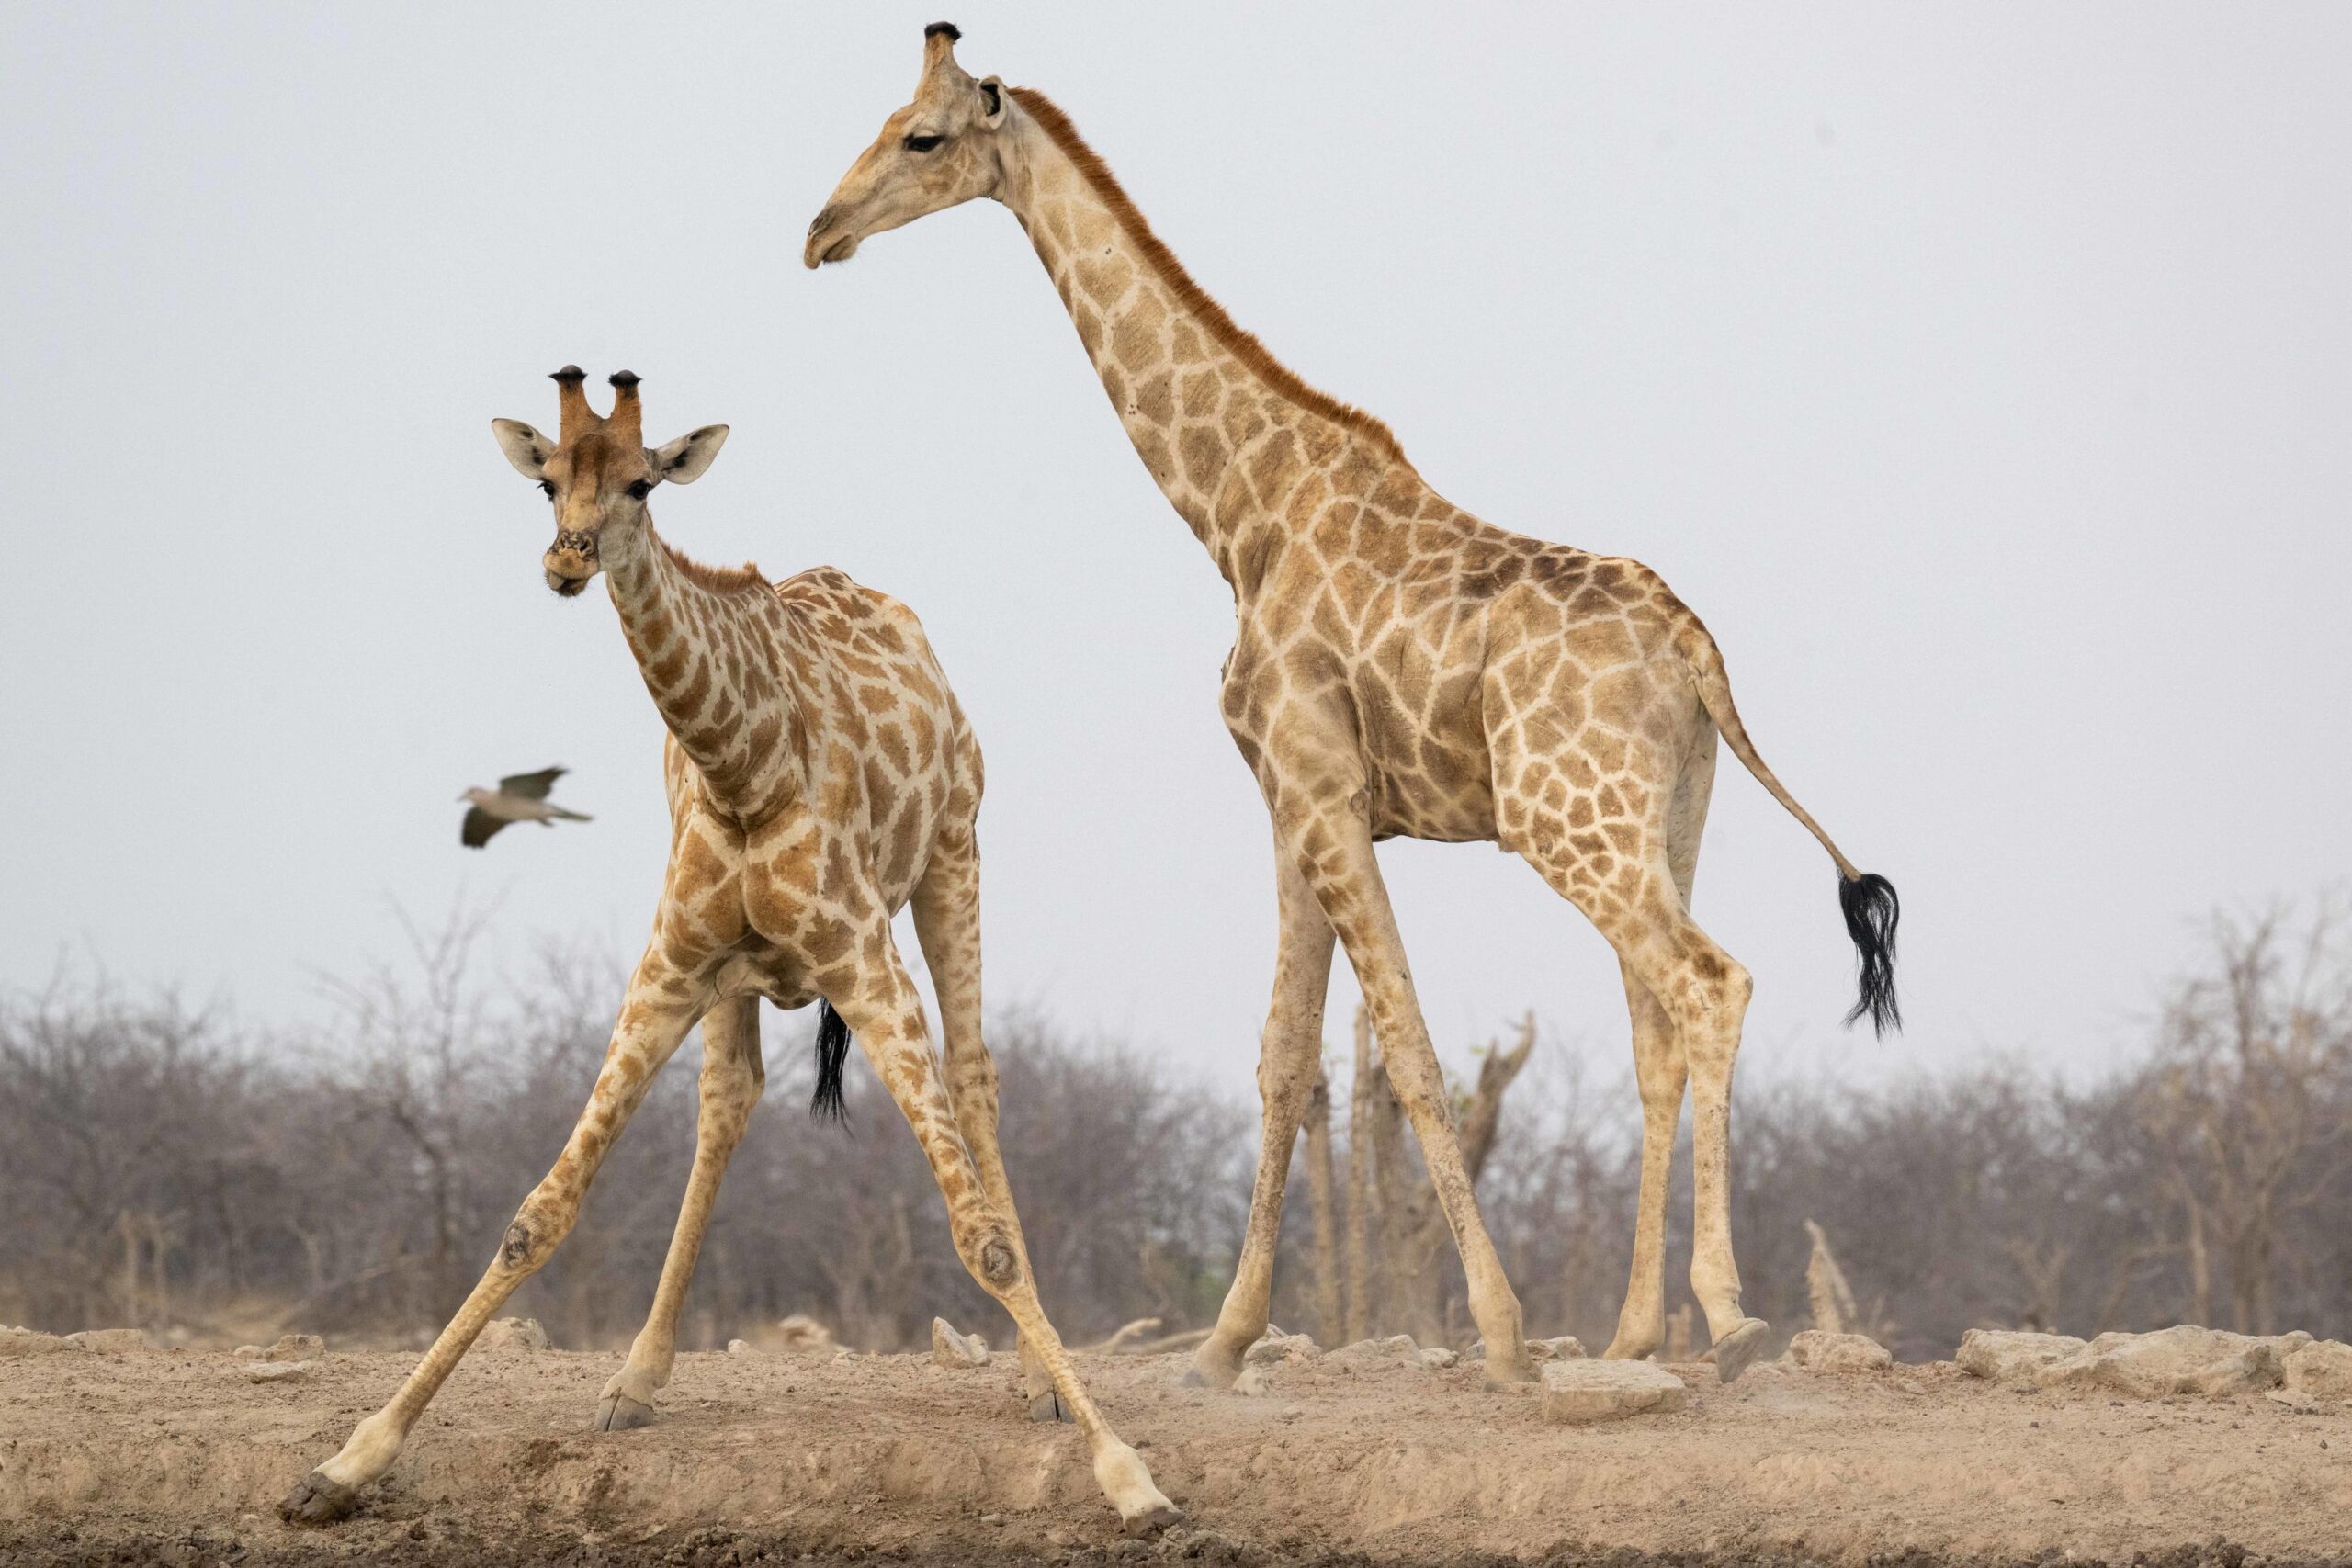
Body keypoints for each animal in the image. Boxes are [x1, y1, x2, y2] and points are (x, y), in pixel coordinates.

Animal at [279, 368, 1179, 1535]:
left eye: (644, 483)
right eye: (548, 482)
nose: (566, 561)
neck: (743, 765)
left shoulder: (866, 961)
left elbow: (975, 1230)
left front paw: (1127, 1473)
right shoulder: (668, 964)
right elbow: (537, 1215)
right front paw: (347, 1462)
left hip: (954, 858)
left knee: (976, 1077)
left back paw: (1040, 1385)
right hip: (735, 976)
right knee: (730, 1097)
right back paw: (635, 1378)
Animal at [804, 25, 1901, 1388]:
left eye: (922, 137)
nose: (822, 229)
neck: (1238, 508)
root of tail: (1697, 649)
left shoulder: (1317, 787)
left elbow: (1409, 1049)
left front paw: (1498, 1333)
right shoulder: (1295, 805)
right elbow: (1286, 1059)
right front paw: (1224, 1343)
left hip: (1569, 824)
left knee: (1713, 984)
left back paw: (1730, 1314)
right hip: (1668, 819)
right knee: (1656, 1029)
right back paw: (1637, 1329)